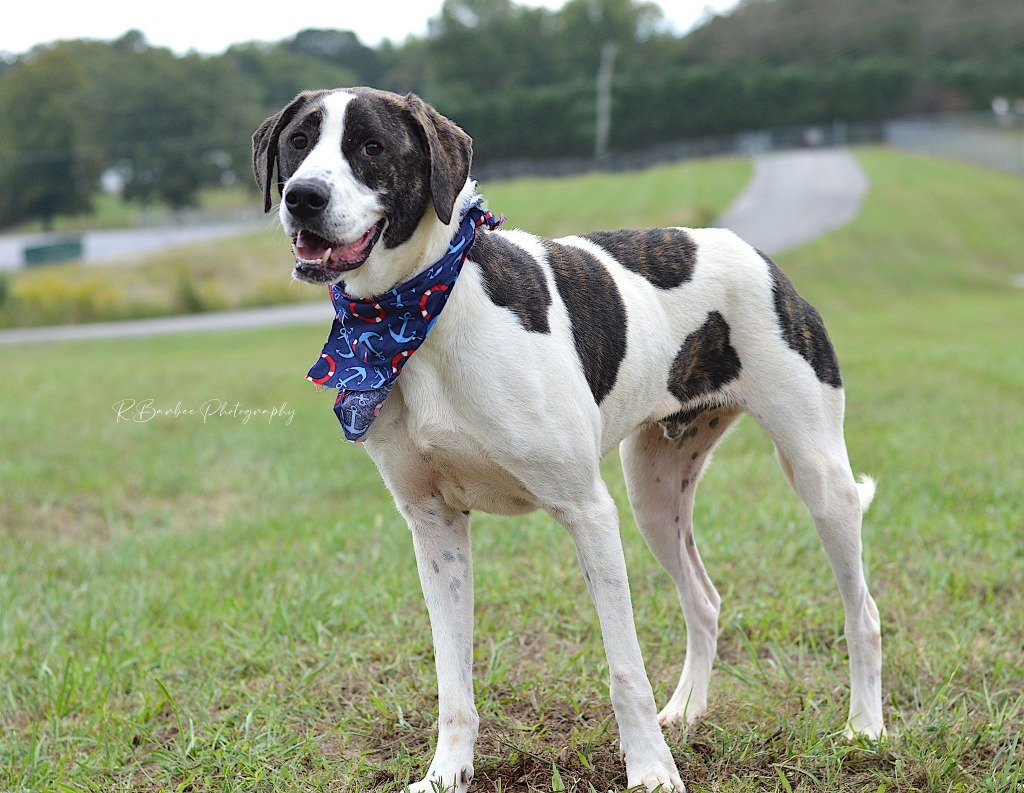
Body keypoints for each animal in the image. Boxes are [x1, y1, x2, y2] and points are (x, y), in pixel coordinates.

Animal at [251, 88, 884, 793]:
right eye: (299, 142)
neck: (421, 312)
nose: (302, 197)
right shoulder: (434, 524)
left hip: (816, 475)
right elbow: (452, 678)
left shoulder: (587, 511)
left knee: (862, 611)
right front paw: (447, 772)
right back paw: (688, 711)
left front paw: (649, 772)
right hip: (654, 495)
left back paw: (864, 727)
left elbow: (624, 668)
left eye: (371, 146)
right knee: (704, 601)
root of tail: (753, 252)